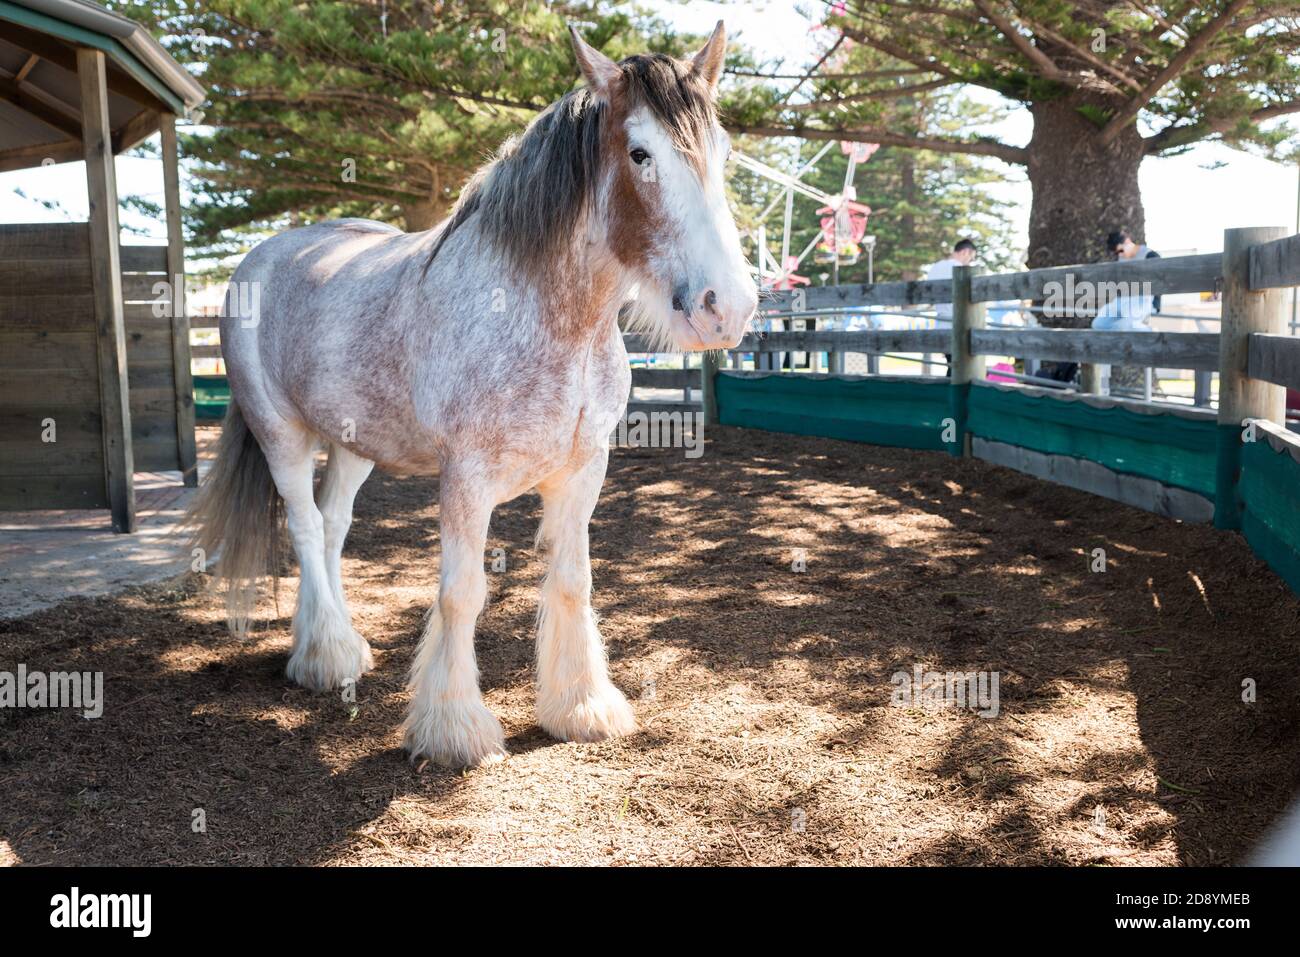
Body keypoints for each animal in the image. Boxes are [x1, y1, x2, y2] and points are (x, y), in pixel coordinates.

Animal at [189, 24, 759, 769]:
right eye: (641, 153)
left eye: (722, 152)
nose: (729, 307)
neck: (544, 316)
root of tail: (262, 258)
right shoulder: (466, 479)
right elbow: (462, 594)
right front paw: (453, 729)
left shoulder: (584, 472)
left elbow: (572, 579)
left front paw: (581, 706)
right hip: (280, 434)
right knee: (307, 528)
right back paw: (327, 657)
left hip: (353, 444)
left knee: (334, 525)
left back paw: (335, 641)